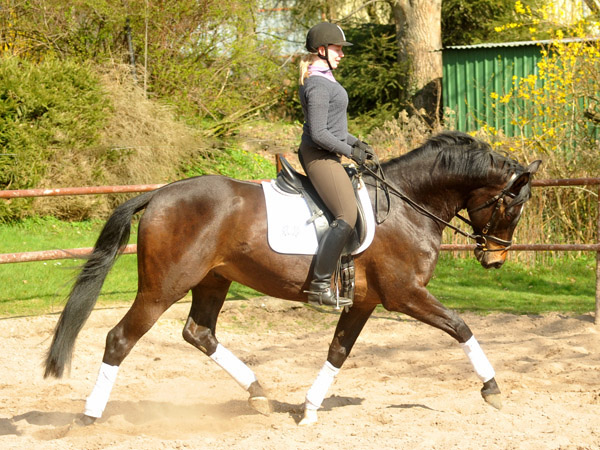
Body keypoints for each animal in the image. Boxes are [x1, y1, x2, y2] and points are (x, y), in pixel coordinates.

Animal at [42, 130, 540, 426]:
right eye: (512, 208)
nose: (496, 260)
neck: (405, 204)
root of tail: (161, 193)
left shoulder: (364, 301)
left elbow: (338, 352)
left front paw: (308, 409)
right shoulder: (405, 295)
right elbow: (461, 326)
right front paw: (492, 390)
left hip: (213, 280)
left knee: (199, 333)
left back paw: (259, 395)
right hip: (163, 287)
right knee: (120, 339)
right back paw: (89, 417)